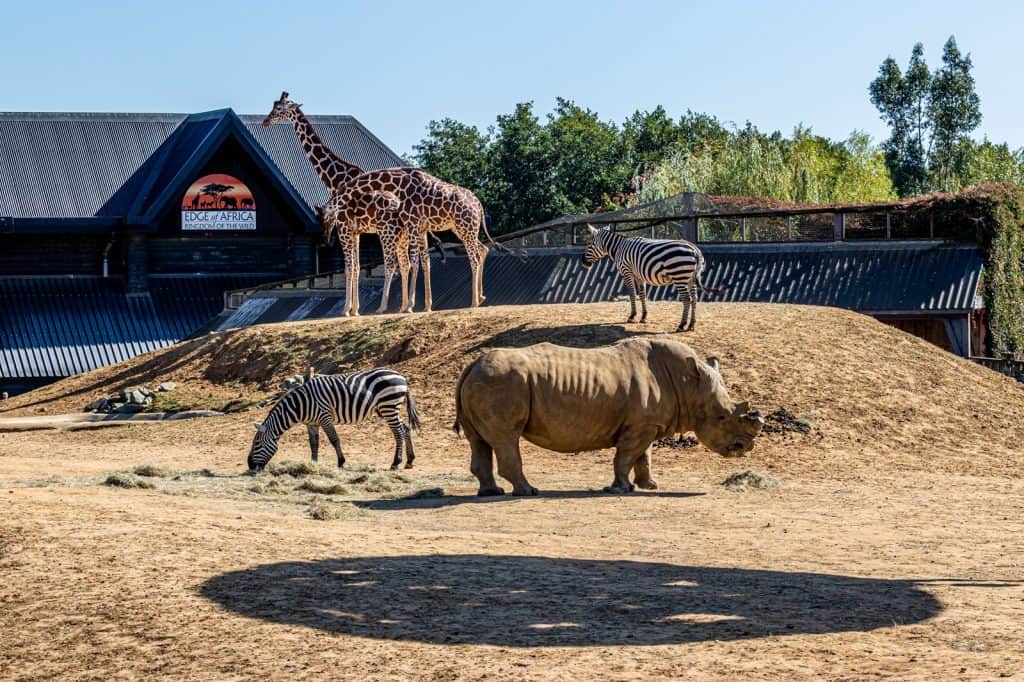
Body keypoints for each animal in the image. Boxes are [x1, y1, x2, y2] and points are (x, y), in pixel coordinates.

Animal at [246, 366, 419, 473]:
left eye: (257, 443)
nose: (250, 465)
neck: (300, 405)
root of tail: (401, 376)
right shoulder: (311, 423)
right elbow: (313, 444)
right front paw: (313, 464)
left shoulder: (325, 417)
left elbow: (334, 440)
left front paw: (341, 462)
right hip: (388, 408)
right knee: (405, 428)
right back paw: (409, 461)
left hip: (388, 405)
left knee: (398, 432)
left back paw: (396, 463)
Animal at [577, 223, 720, 329]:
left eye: (588, 244)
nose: (583, 262)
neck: (618, 248)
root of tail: (695, 249)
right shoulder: (639, 275)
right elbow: (642, 295)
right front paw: (644, 317)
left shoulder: (626, 271)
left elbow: (632, 294)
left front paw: (632, 316)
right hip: (691, 278)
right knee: (694, 298)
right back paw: (691, 325)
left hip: (679, 276)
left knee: (686, 299)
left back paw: (682, 325)